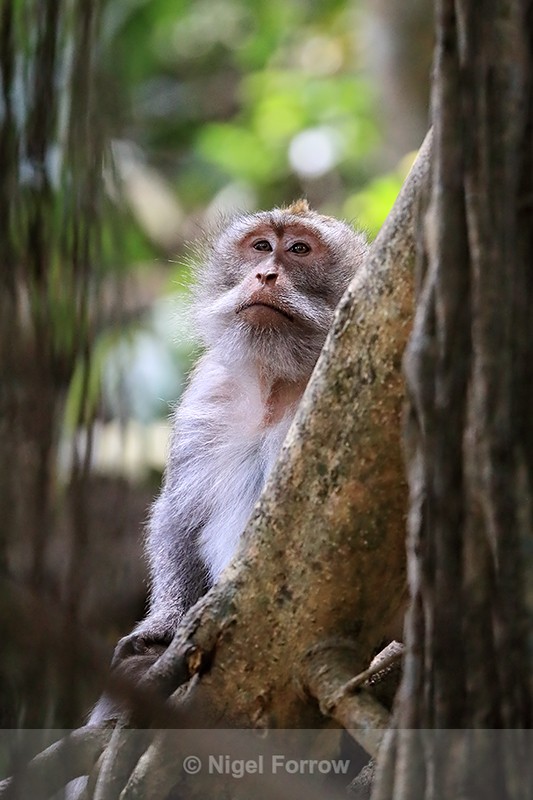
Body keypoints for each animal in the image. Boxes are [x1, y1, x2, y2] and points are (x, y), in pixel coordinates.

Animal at [110, 199, 368, 666]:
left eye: (299, 249)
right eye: (261, 246)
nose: (265, 275)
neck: (276, 381)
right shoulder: (207, 392)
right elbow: (179, 516)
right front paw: (163, 627)